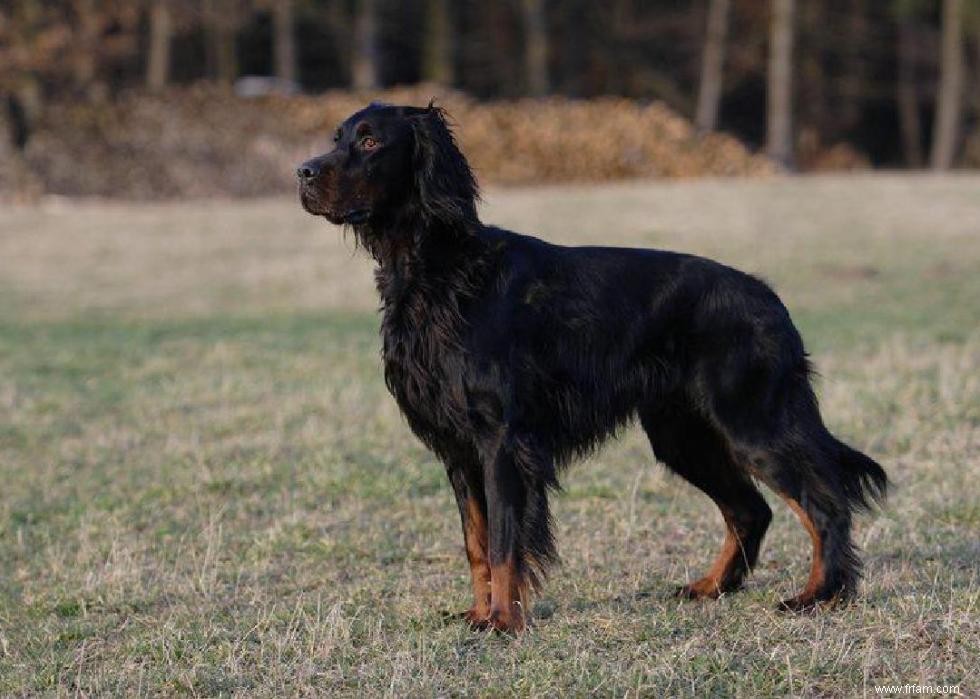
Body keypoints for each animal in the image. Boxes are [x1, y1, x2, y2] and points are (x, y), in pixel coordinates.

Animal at [294, 102, 884, 636]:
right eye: (337, 137)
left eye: (371, 141)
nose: (303, 172)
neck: (441, 271)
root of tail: (770, 300)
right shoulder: (458, 451)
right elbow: (476, 544)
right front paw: (479, 615)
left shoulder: (501, 440)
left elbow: (504, 540)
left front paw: (504, 621)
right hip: (682, 435)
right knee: (749, 510)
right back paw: (712, 586)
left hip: (753, 424)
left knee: (825, 504)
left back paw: (820, 596)